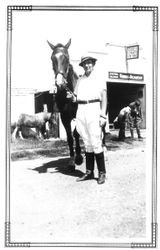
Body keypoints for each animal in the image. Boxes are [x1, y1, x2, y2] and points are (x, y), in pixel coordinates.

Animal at [47, 38, 82, 170]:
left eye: (66, 57)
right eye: (52, 58)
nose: (60, 83)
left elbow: (76, 134)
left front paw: (78, 158)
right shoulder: (64, 118)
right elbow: (70, 137)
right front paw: (72, 160)